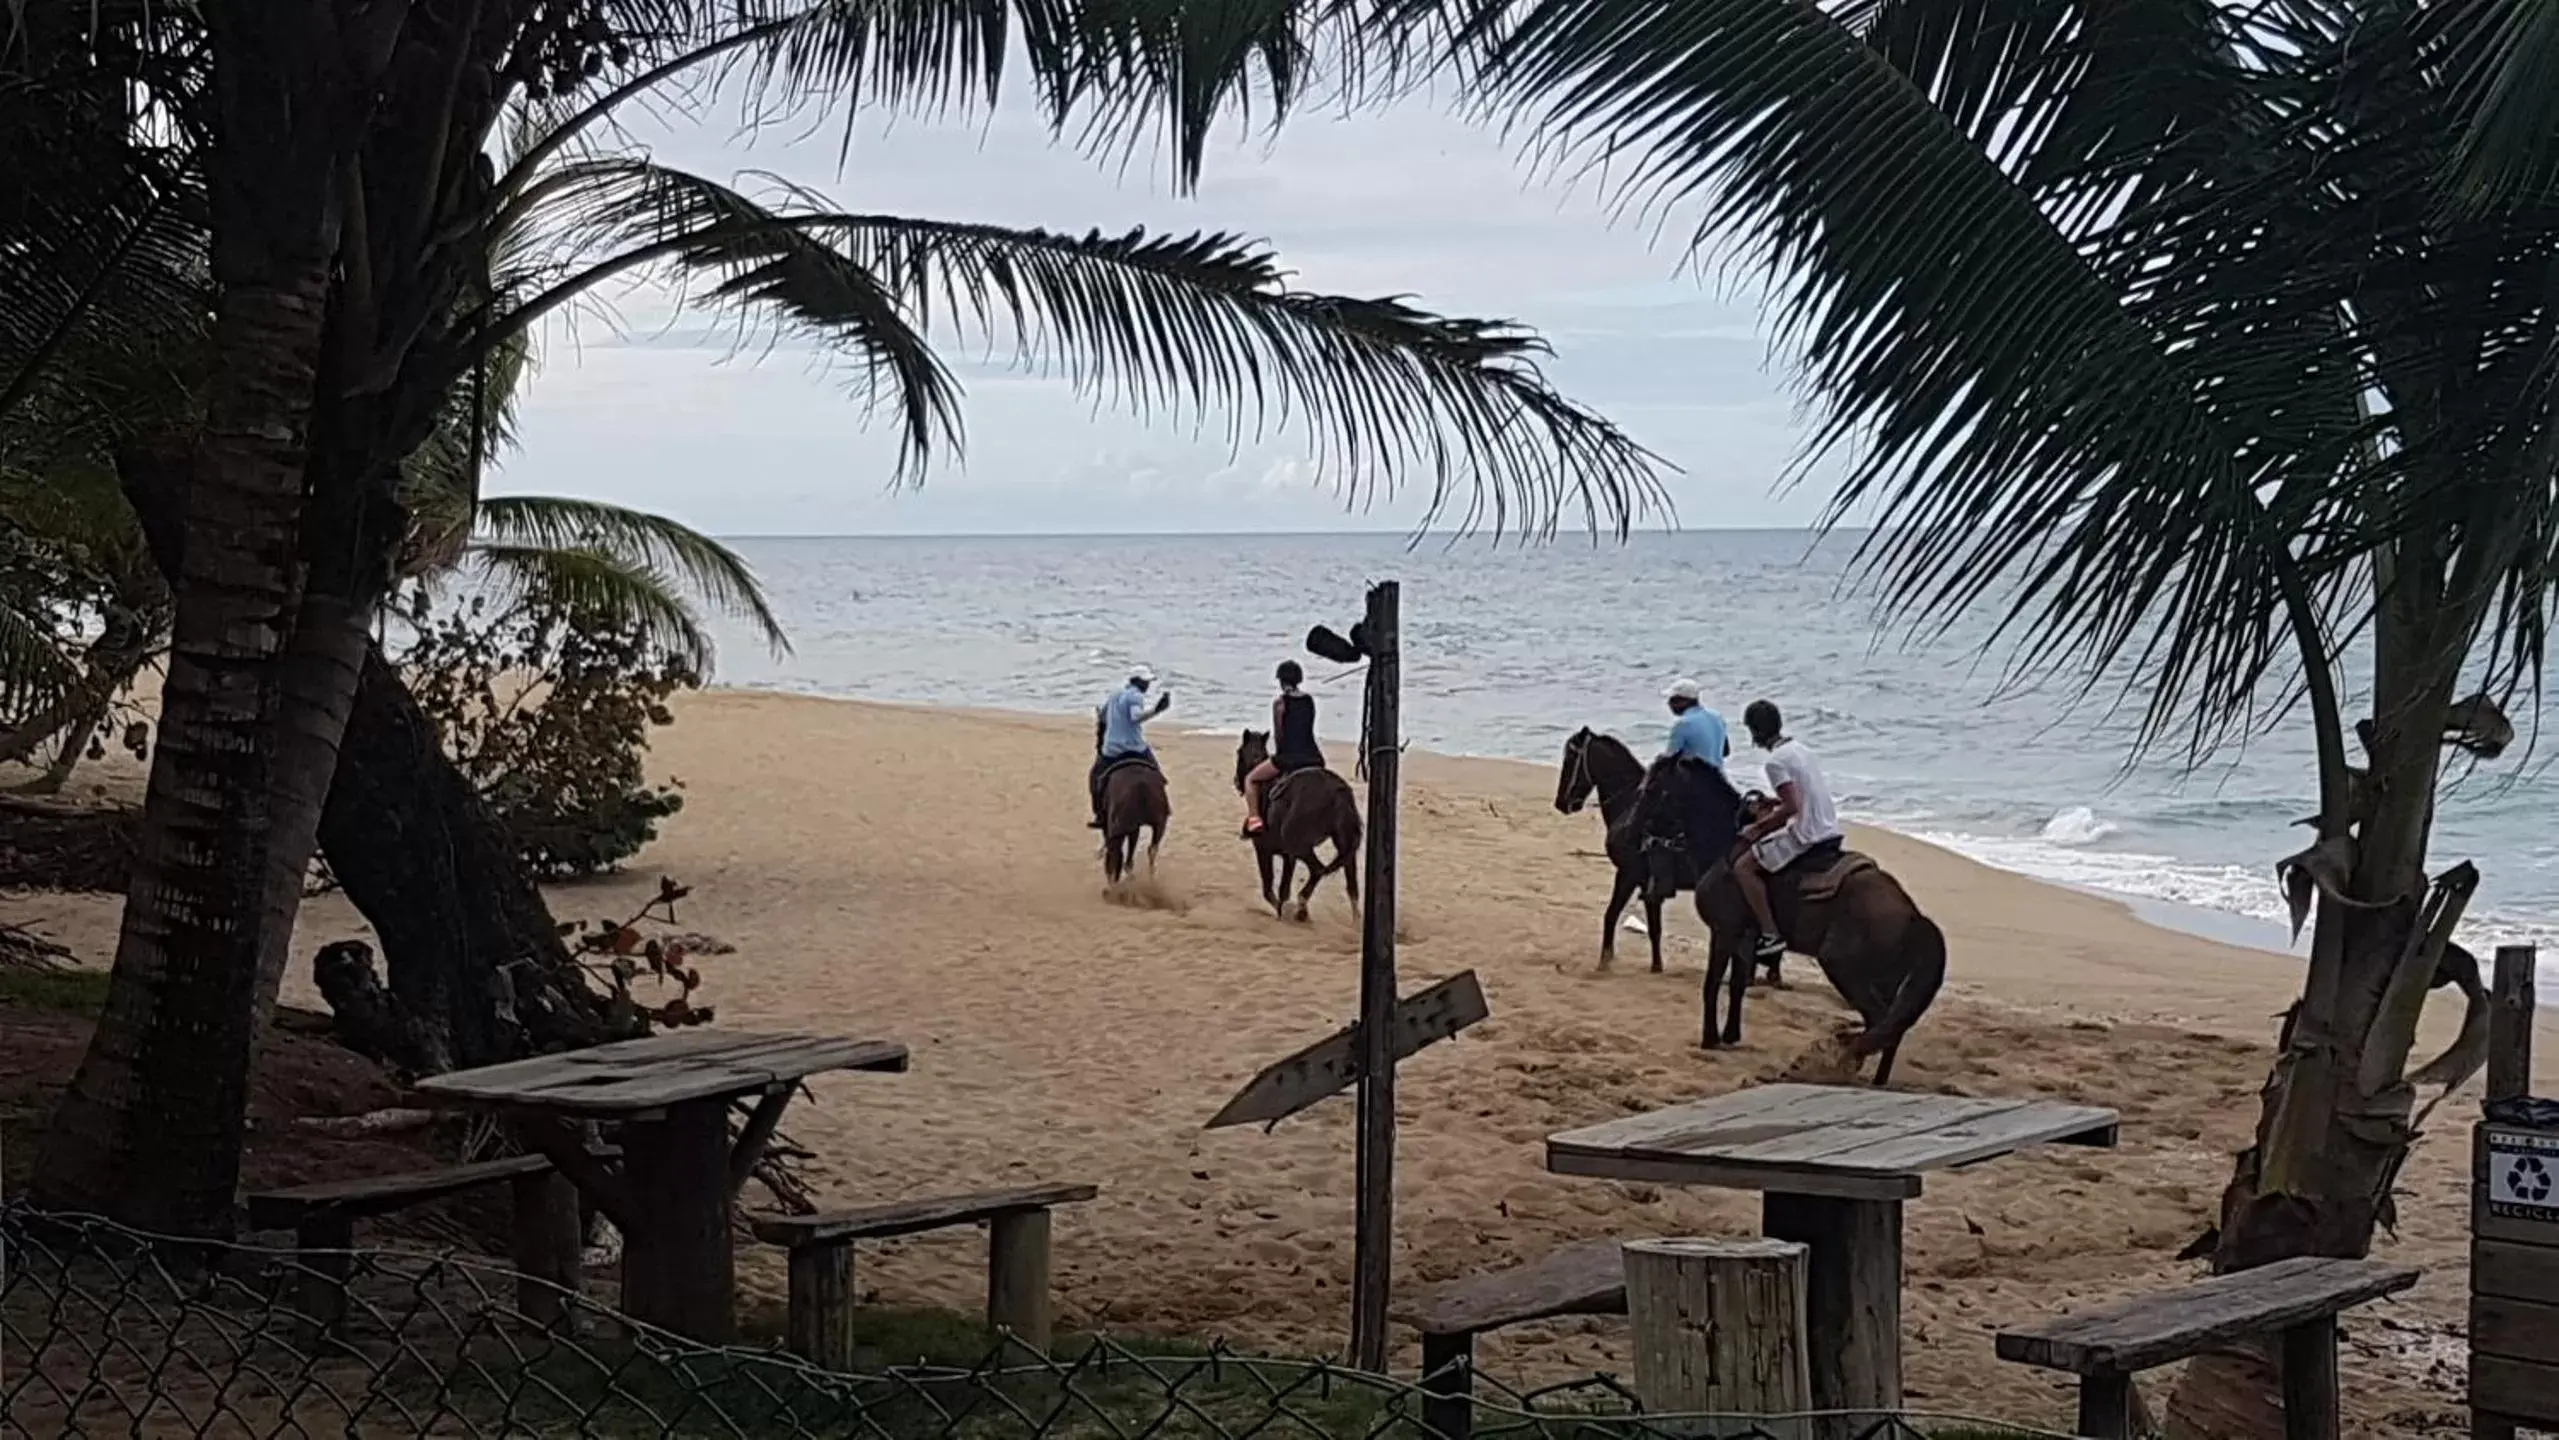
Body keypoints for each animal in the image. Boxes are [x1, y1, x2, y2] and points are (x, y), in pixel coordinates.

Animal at [1233, 731, 1361, 925]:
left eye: (1239, 752)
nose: (1236, 782)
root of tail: (1338, 790)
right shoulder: (1289, 857)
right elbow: (1283, 888)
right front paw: (1284, 909)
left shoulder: (1263, 850)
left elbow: (1269, 887)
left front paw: (1282, 911)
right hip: (1344, 846)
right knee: (1351, 884)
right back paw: (1355, 921)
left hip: (1300, 846)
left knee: (1318, 869)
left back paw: (1301, 907)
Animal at [1555, 726, 1781, 987]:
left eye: (1570, 758)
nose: (1561, 803)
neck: (1627, 807)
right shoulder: (1648, 884)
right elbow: (1655, 928)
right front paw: (1656, 966)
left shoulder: (1628, 874)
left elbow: (1612, 914)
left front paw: (1605, 961)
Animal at [1627, 757, 1944, 1084]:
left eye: (1651, 787)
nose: (1632, 825)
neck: (1725, 847)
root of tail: (1914, 917)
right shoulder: (1744, 939)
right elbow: (1737, 984)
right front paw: (1730, 1035)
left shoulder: (1724, 932)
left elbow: (1712, 983)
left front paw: (1710, 1038)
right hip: (1884, 981)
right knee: (1891, 1027)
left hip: (1844, 969)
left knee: (1882, 1023)